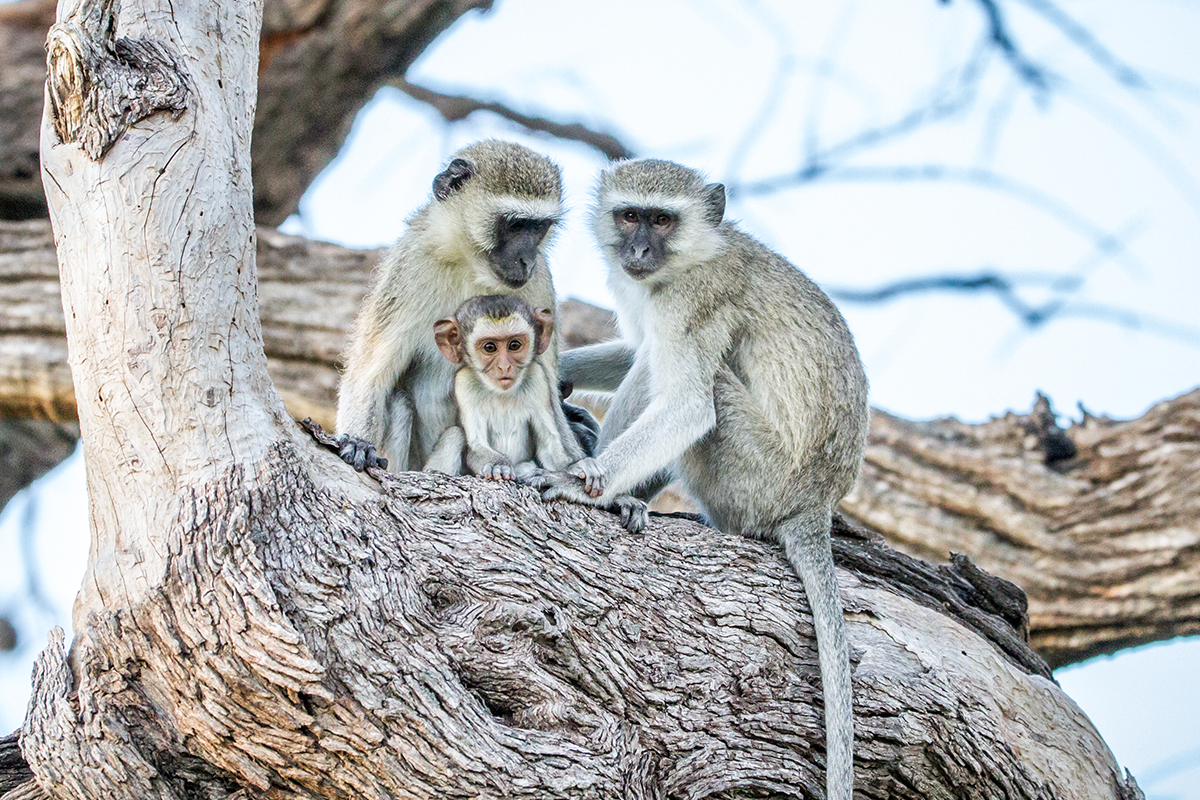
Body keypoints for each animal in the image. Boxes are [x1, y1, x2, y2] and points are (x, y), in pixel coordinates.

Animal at [334, 140, 597, 473]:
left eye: (539, 228)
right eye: (516, 225)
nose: (526, 260)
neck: (471, 266)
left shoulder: (540, 282)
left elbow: (545, 387)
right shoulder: (409, 267)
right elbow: (370, 373)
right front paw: (357, 441)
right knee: (400, 402)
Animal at [426, 295, 648, 533]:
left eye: (514, 345)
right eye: (489, 347)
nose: (504, 367)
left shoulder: (537, 378)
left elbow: (550, 443)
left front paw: (578, 469)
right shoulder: (464, 383)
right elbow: (475, 445)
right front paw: (497, 464)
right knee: (455, 435)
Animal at [548, 159, 869, 800]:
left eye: (662, 220)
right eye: (629, 215)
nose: (638, 250)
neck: (693, 256)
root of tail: (816, 500)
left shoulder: (692, 303)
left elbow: (689, 406)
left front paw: (581, 484)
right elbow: (638, 347)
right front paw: (557, 369)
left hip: (752, 474)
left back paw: (620, 496)